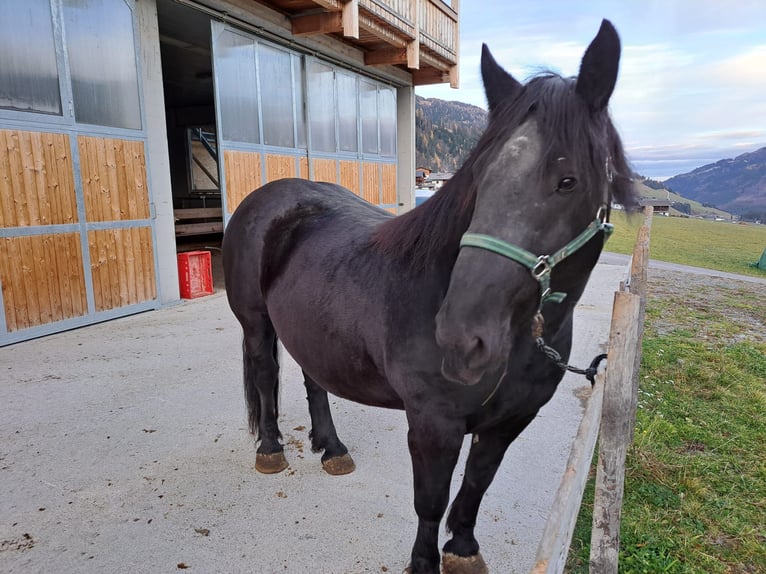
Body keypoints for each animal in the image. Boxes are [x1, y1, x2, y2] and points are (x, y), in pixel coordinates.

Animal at [225, 20, 640, 572]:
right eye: (479, 179)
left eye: (567, 181)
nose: (462, 340)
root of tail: (265, 198)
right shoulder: (432, 424)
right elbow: (431, 500)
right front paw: (424, 562)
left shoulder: (510, 422)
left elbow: (476, 487)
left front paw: (462, 548)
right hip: (255, 324)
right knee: (266, 374)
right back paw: (271, 449)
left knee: (316, 379)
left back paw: (331, 448)